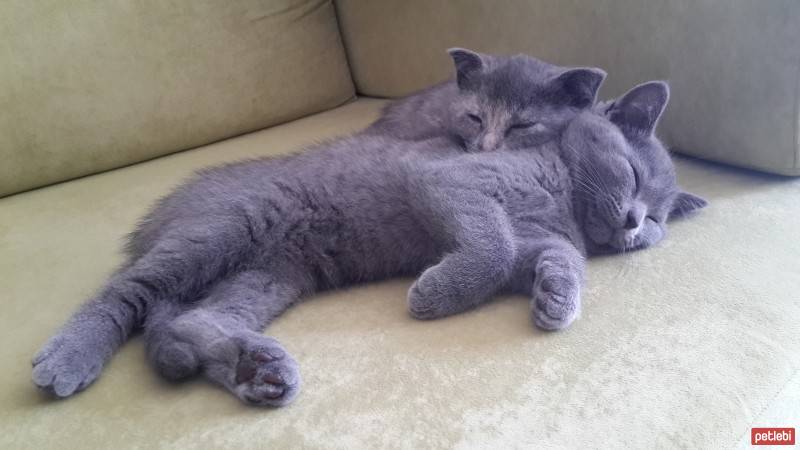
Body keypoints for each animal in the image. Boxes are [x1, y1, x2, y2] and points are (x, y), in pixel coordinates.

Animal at [31, 80, 708, 408]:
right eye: (635, 177)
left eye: (658, 220)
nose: (634, 224)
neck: (560, 193)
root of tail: (165, 208)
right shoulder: (453, 183)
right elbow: (490, 246)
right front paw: (434, 296)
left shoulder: (534, 239)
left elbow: (555, 257)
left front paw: (556, 299)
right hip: (224, 229)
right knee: (128, 292)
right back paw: (68, 357)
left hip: (273, 274)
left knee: (185, 322)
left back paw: (256, 370)